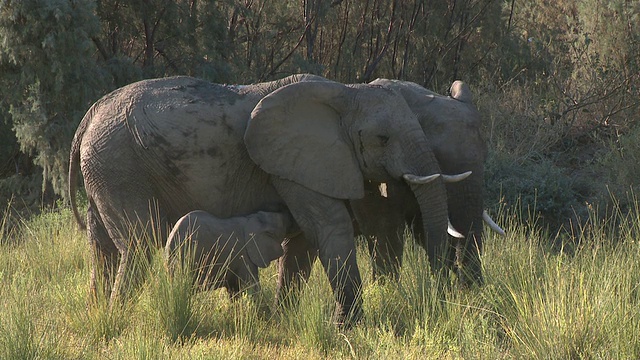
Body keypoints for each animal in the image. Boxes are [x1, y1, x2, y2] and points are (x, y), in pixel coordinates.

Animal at [70, 74, 456, 324]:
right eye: (382, 138)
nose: (440, 298)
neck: (346, 92)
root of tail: (89, 115)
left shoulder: (298, 165)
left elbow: (303, 243)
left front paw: (281, 319)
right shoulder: (295, 162)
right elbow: (330, 227)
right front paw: (352, 326)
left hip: (103, 167)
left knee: (102, 248)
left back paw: (97, 318)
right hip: (120, 163)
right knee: (140, 242)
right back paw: (119, 320)